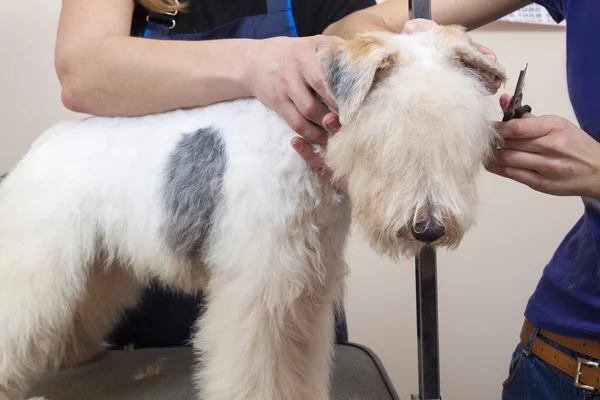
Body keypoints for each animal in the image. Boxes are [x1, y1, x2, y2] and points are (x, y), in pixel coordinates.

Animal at [0, 25, 506, 400]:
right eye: (388, 134)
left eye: (464, 137)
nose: (429, 229)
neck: (301, 151)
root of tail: (43, 143)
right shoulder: (261, 289)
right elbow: (257, 366)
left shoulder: (306, 287)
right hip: (39, 259)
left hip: (96, 261)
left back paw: (74, 352)